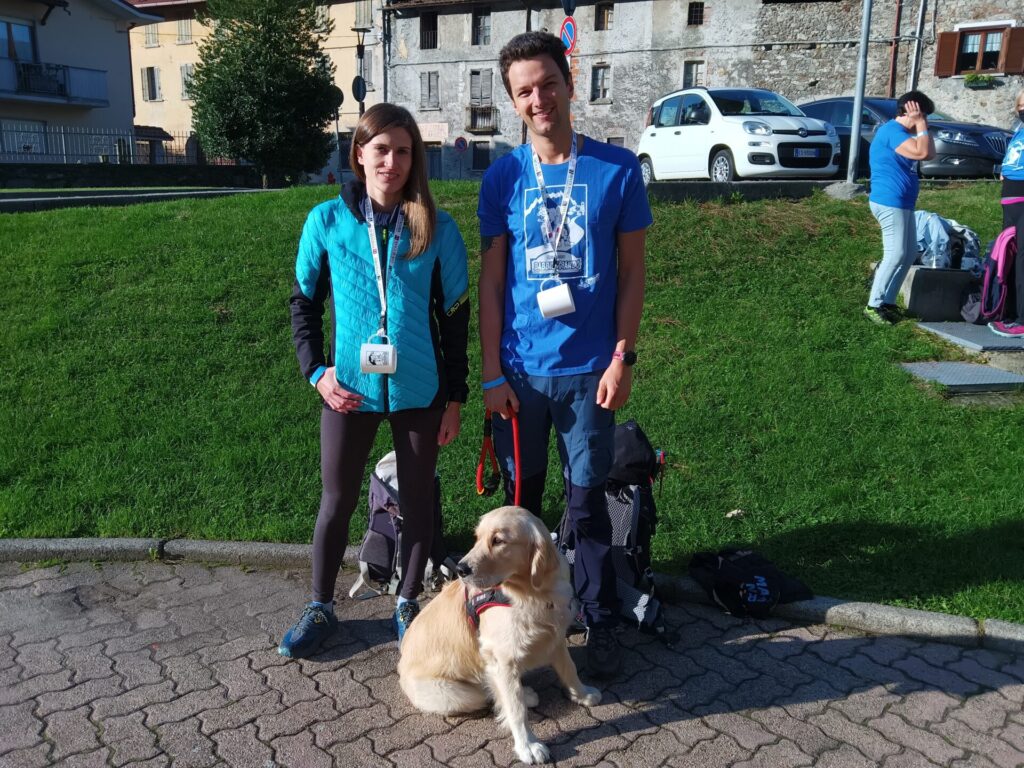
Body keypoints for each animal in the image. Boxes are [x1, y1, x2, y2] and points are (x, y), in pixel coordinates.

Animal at [397, 507, 598, 765]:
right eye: (477, 538)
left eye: (498, 541)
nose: (461, 569)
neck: (532, 594)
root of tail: (401, 663)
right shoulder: (502, 660)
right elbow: (515, 708)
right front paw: (528, 745)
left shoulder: (555, 637)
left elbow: (569, 669)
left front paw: (582, 694)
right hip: (457, 694)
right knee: (488, 694)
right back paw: (525, 695)